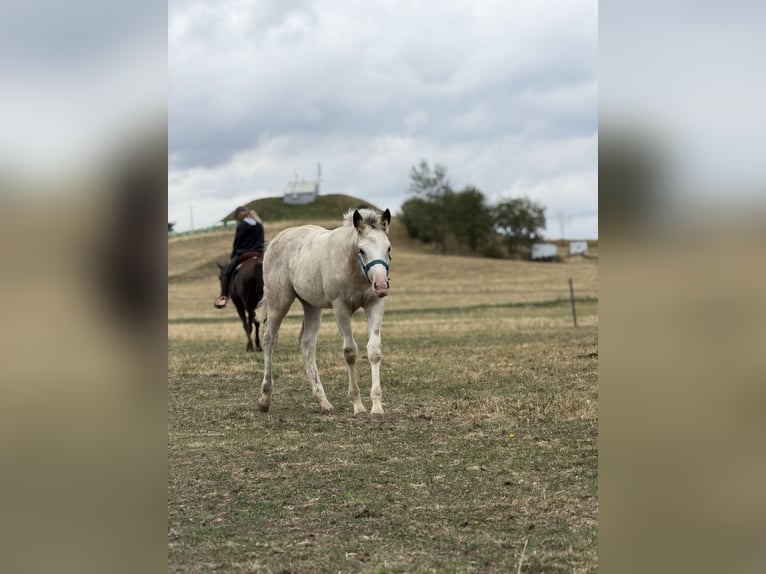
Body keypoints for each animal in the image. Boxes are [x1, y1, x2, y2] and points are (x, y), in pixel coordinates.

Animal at [258, 207, 392, 418]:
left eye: (388, 249)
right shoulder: (340, 307)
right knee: (268, 339)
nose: (381, 285)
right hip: (279, 302)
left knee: (307, 343)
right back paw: (265, 399)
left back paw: (323, 400)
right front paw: (358, 405)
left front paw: (377, 407)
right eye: (361, 250)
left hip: (311, 305)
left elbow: (374, 350)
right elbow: (350, 352)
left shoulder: (375, 304)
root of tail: (274, 241)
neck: (353, 268)